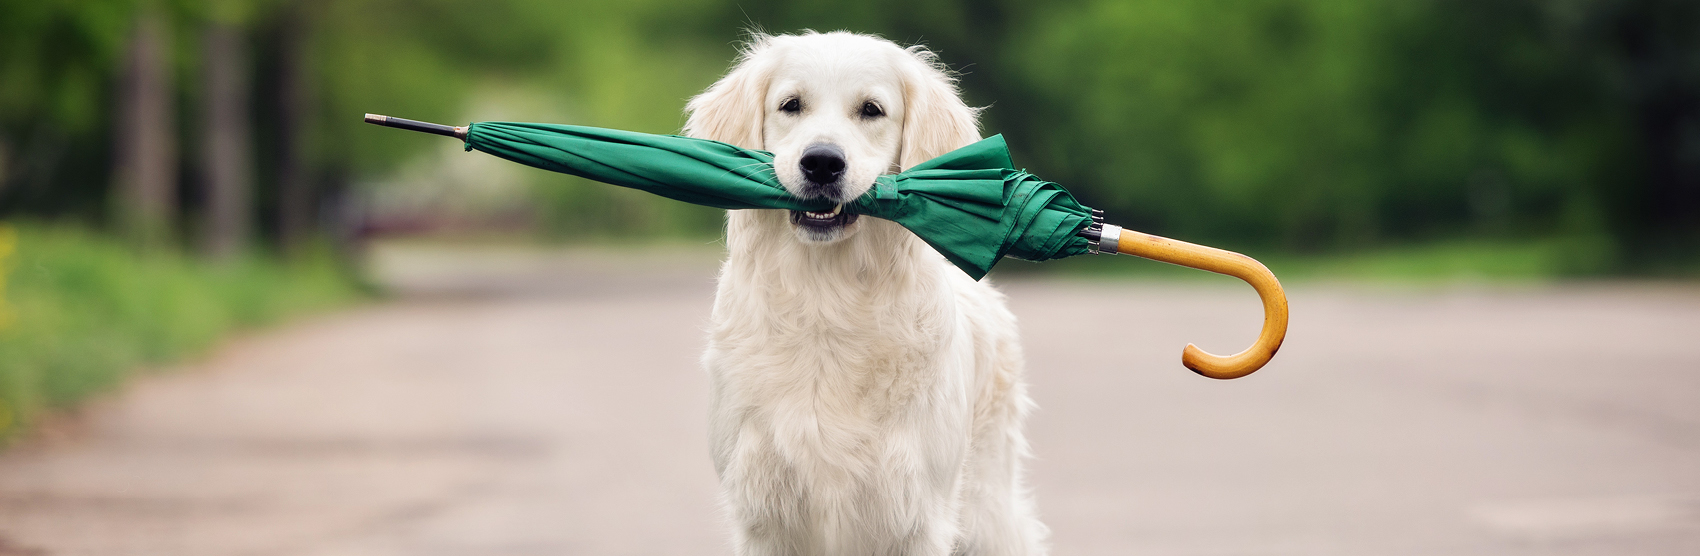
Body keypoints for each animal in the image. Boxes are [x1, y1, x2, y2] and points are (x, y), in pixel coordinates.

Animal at [683, 31, 1040, 556]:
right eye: (790, 105)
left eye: (871, 110)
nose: (822, 162)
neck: (826, 299)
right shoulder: (764, 513)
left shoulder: (915, 514)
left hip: (984, 513)